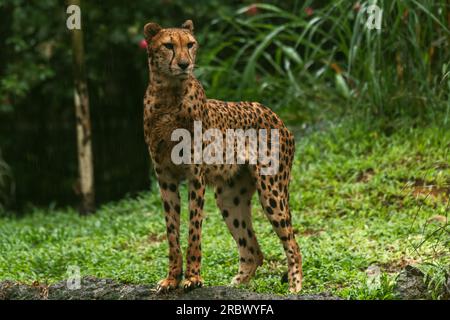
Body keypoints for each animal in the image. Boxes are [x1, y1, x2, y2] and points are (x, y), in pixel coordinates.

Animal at [142, 20, 302, 294]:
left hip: (271, 190)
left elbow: (193, 229)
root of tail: (277, 116)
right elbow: (172, 231)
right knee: (252, 251)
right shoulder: (164, 176)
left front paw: (193, 277)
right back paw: (235, 285)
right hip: (229, 197)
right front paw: (172, 278)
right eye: (169, 45)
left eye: (190, 44)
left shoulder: (195, 175)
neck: (169, 94)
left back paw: (295, 288)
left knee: (293, 245)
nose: (184, 64)